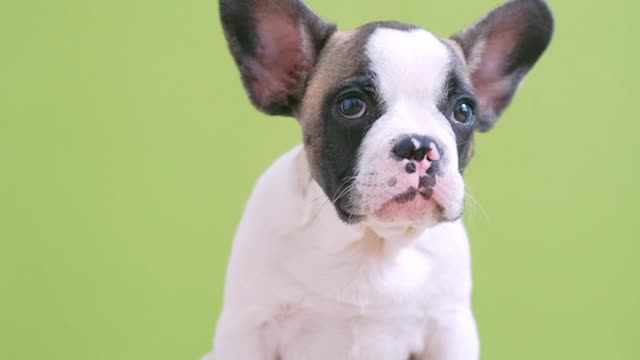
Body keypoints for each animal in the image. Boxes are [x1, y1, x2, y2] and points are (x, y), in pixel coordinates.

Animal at [208, 0, 552, 358]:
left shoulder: (449, 328)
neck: (372, 244)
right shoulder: (249, 325)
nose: (419, 146)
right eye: (351, 105)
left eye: (464, 111)